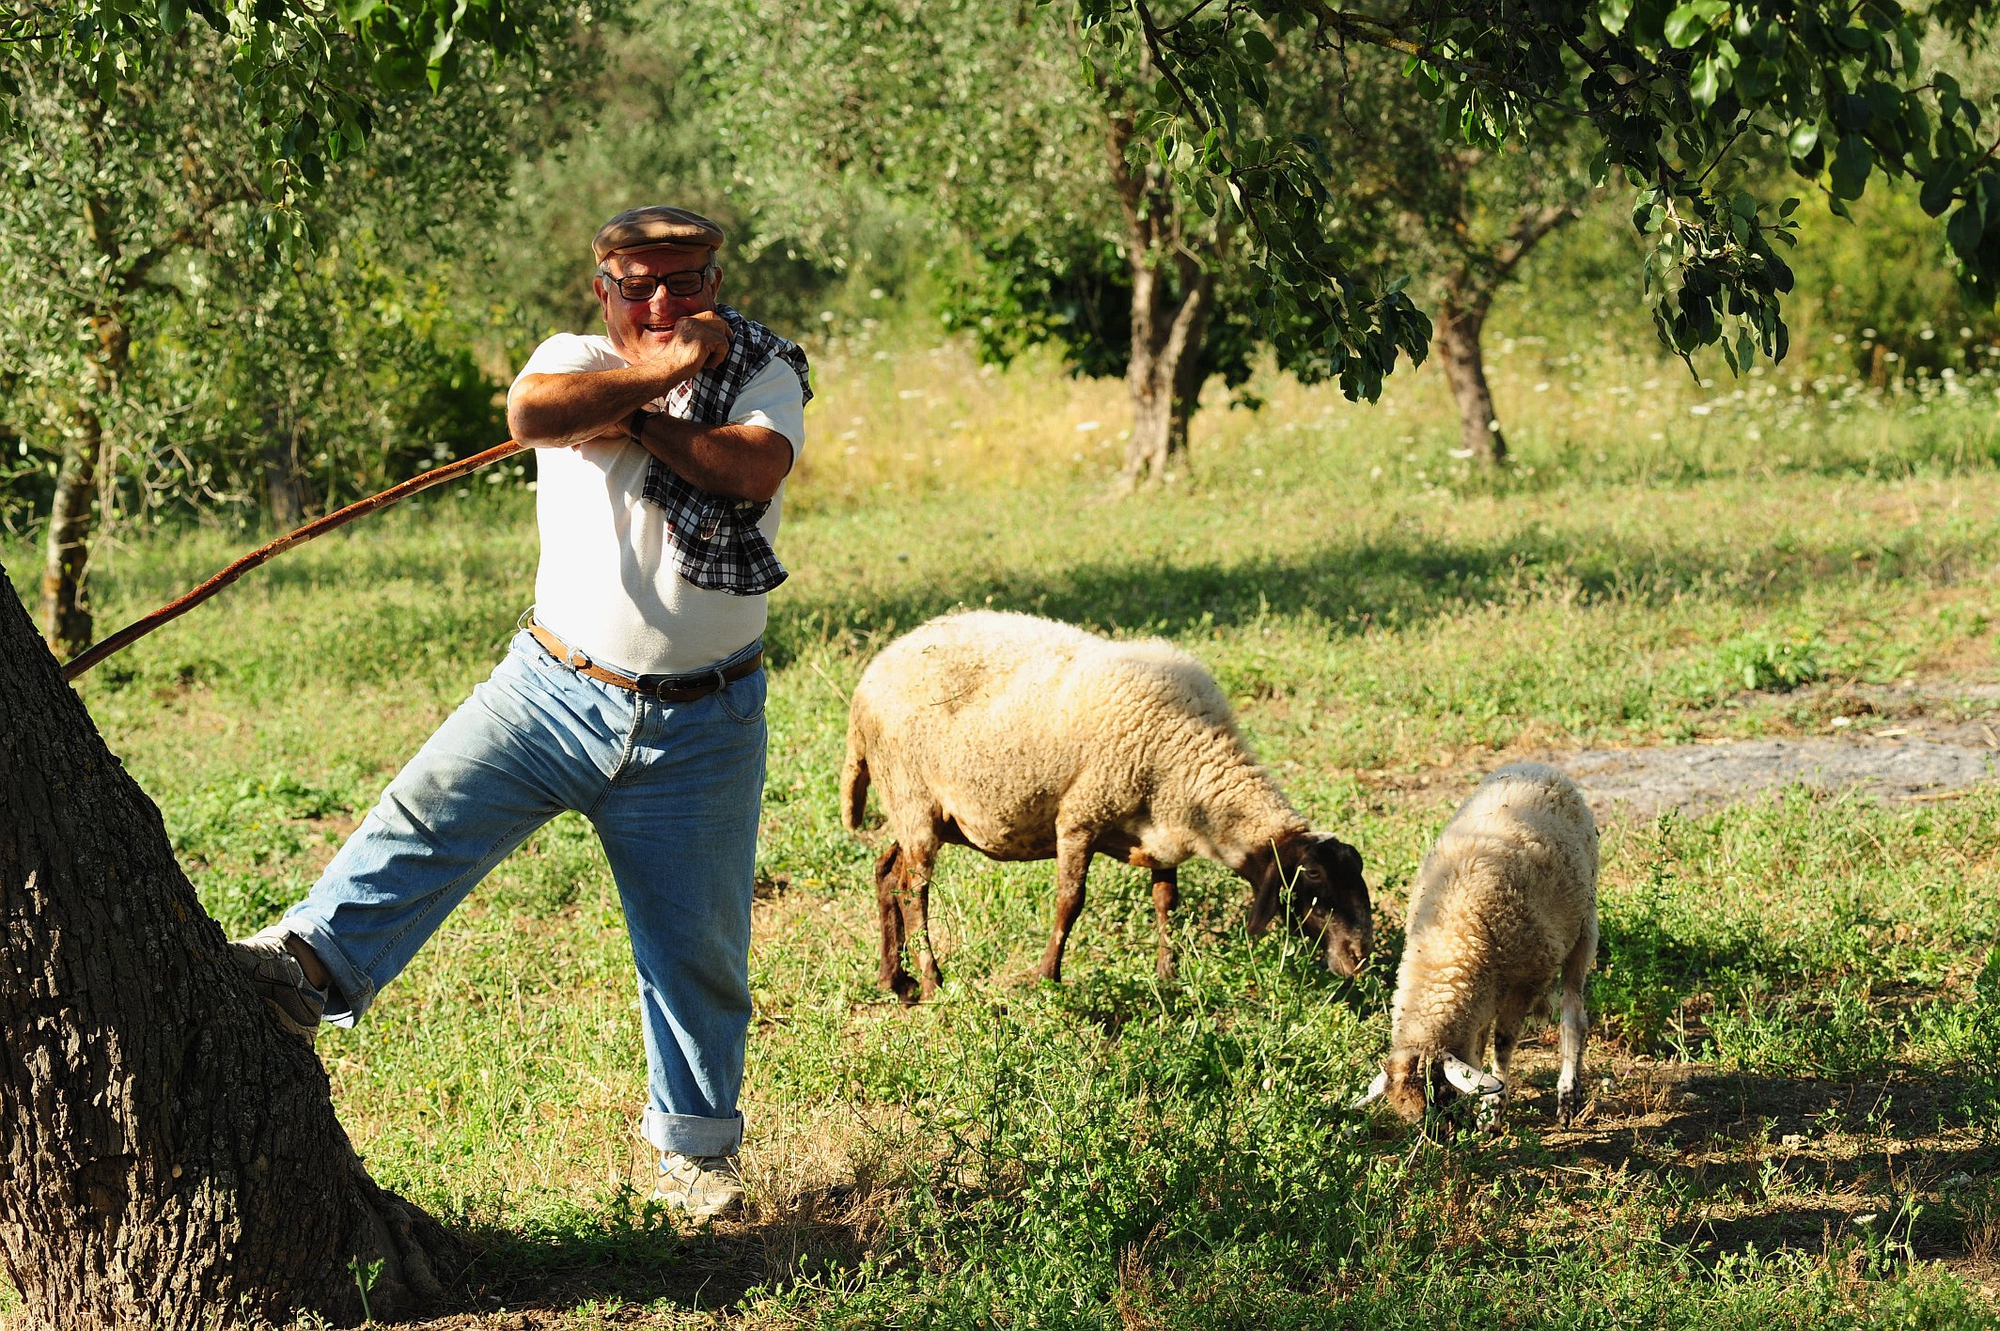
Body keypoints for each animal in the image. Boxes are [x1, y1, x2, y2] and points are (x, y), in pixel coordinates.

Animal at [832, 607, 1376, 995]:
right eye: (1313, 879)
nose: (1360, 958)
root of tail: (872, 675)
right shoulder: (1079, 818)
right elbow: (1070, 903)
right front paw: (1047, 979)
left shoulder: (1162, 833)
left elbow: (1167, 901)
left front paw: (1168, 976)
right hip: (913, 796)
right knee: (914, 891)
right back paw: (930, 981)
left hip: (921, 810)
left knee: (886, 871)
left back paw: (893, 980)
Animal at [1352, 763, 1600, 1127]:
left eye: (1440, 1092)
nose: (1439, 1138)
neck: (1448, 944)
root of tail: (1538, 767)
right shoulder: (1482, 990)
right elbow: (1478, 1046)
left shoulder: (1524, 982)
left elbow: (1503, 1044)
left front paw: (1492, 1112)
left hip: (1584, 926)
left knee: (1573, 1013)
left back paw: (1567, 1097)